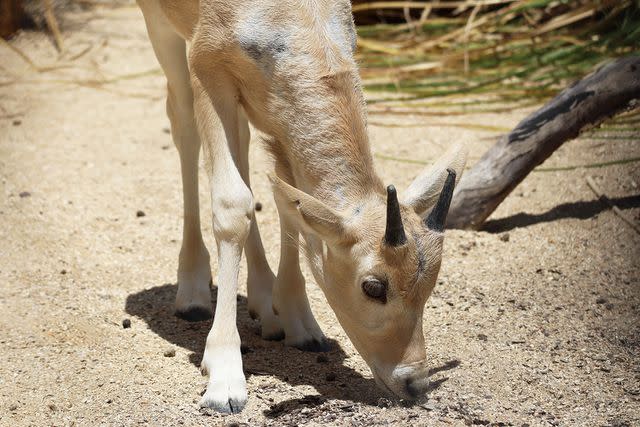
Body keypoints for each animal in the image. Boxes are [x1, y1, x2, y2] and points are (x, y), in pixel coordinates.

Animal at [136, 0, 464, 414]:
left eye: (431, 282)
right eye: (373, 286)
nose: (413, 382)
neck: (292, 18)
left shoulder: (280, 117)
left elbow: (285, 199)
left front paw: (302, 326)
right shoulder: (207, 67)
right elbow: (232, 205)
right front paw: (225, 380)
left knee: (242, 144)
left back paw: (265, 304)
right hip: (161, 31)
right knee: (183, 123)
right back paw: (193, 293)